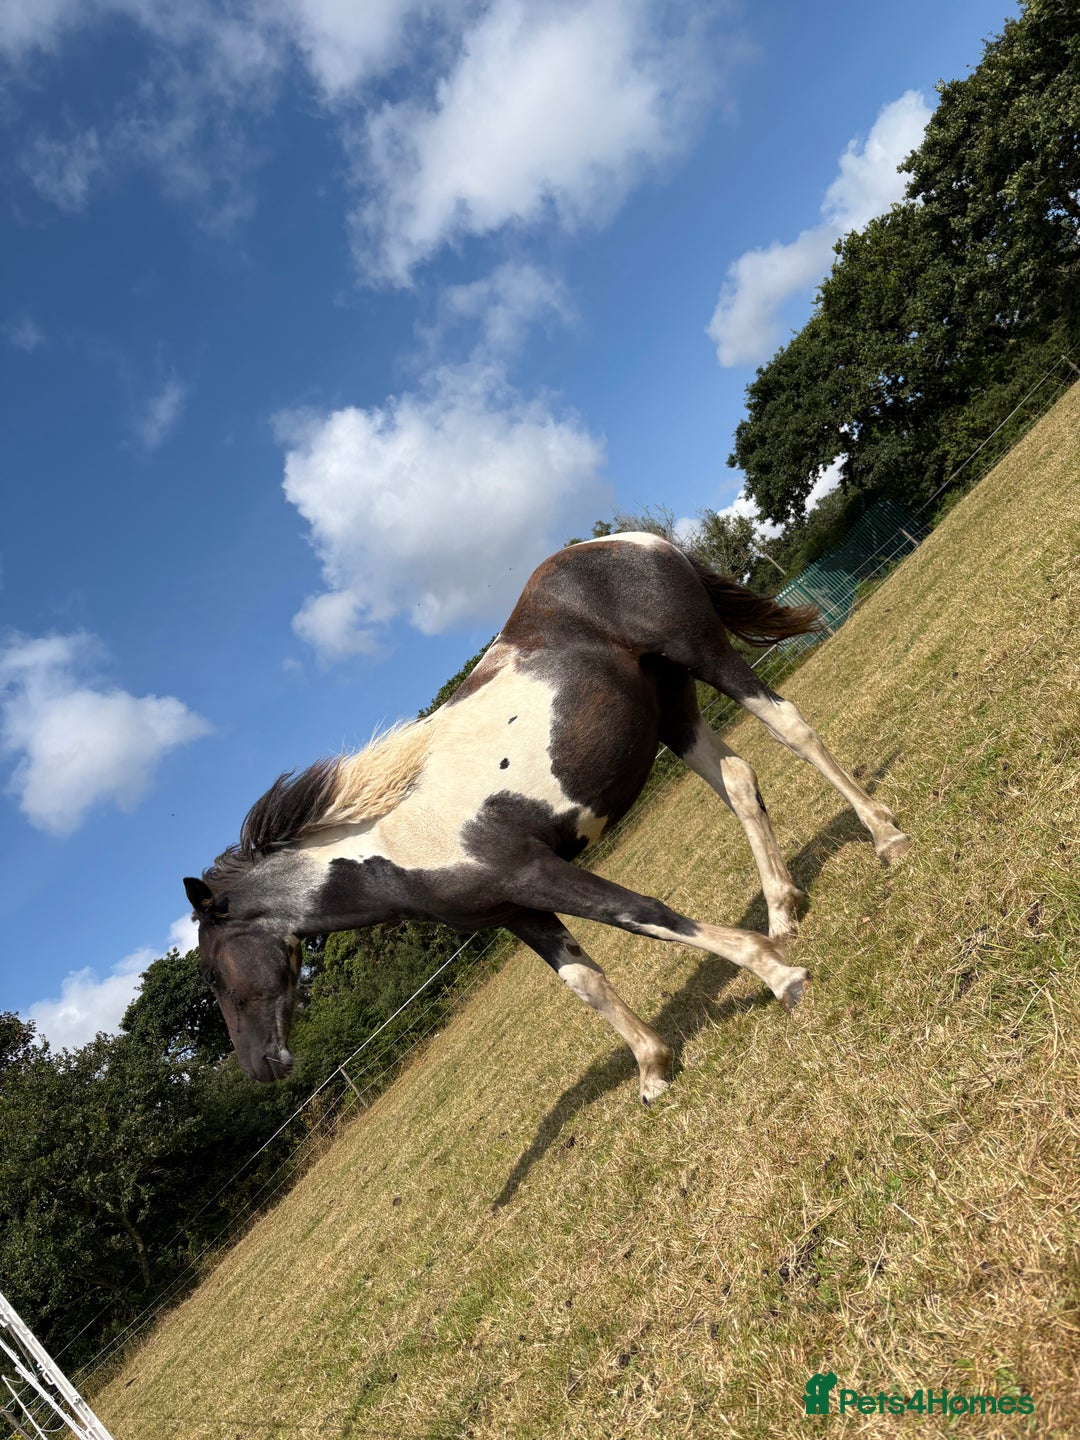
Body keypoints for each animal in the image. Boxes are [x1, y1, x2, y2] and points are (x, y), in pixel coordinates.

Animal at [184, 534, 909, 1103]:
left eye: (216, 976)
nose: (262, 1067)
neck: (394, 845)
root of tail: (630, 541)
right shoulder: (517, 910)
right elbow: (583, 981)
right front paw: (653, 1069)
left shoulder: (538, 873)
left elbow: (645, 914)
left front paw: (780, 978)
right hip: (673, 708)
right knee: (737, 779)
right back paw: (783, 909)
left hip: (706, 657)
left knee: (792, 730)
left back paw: (886, 838)